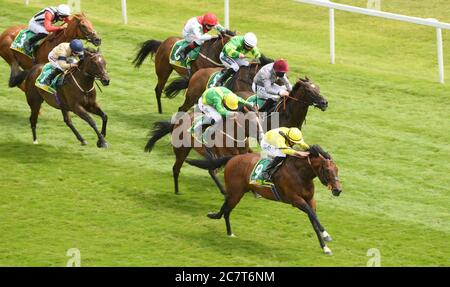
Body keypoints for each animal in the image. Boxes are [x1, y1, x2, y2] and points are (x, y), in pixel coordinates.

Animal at [185, 145, 342, 255]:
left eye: (337, 169)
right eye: (327, 170)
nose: (338, 190)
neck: (300, 174)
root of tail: (232, 158)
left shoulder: (310, 200)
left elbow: (314, 219)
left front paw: (325, 247)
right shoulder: (296, 200)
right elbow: (313, 215)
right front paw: (326, 236)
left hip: (237, 192)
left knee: (226, 208)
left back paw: (224, 227)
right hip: (236, 192)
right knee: (227, 210)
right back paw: (224, 226)